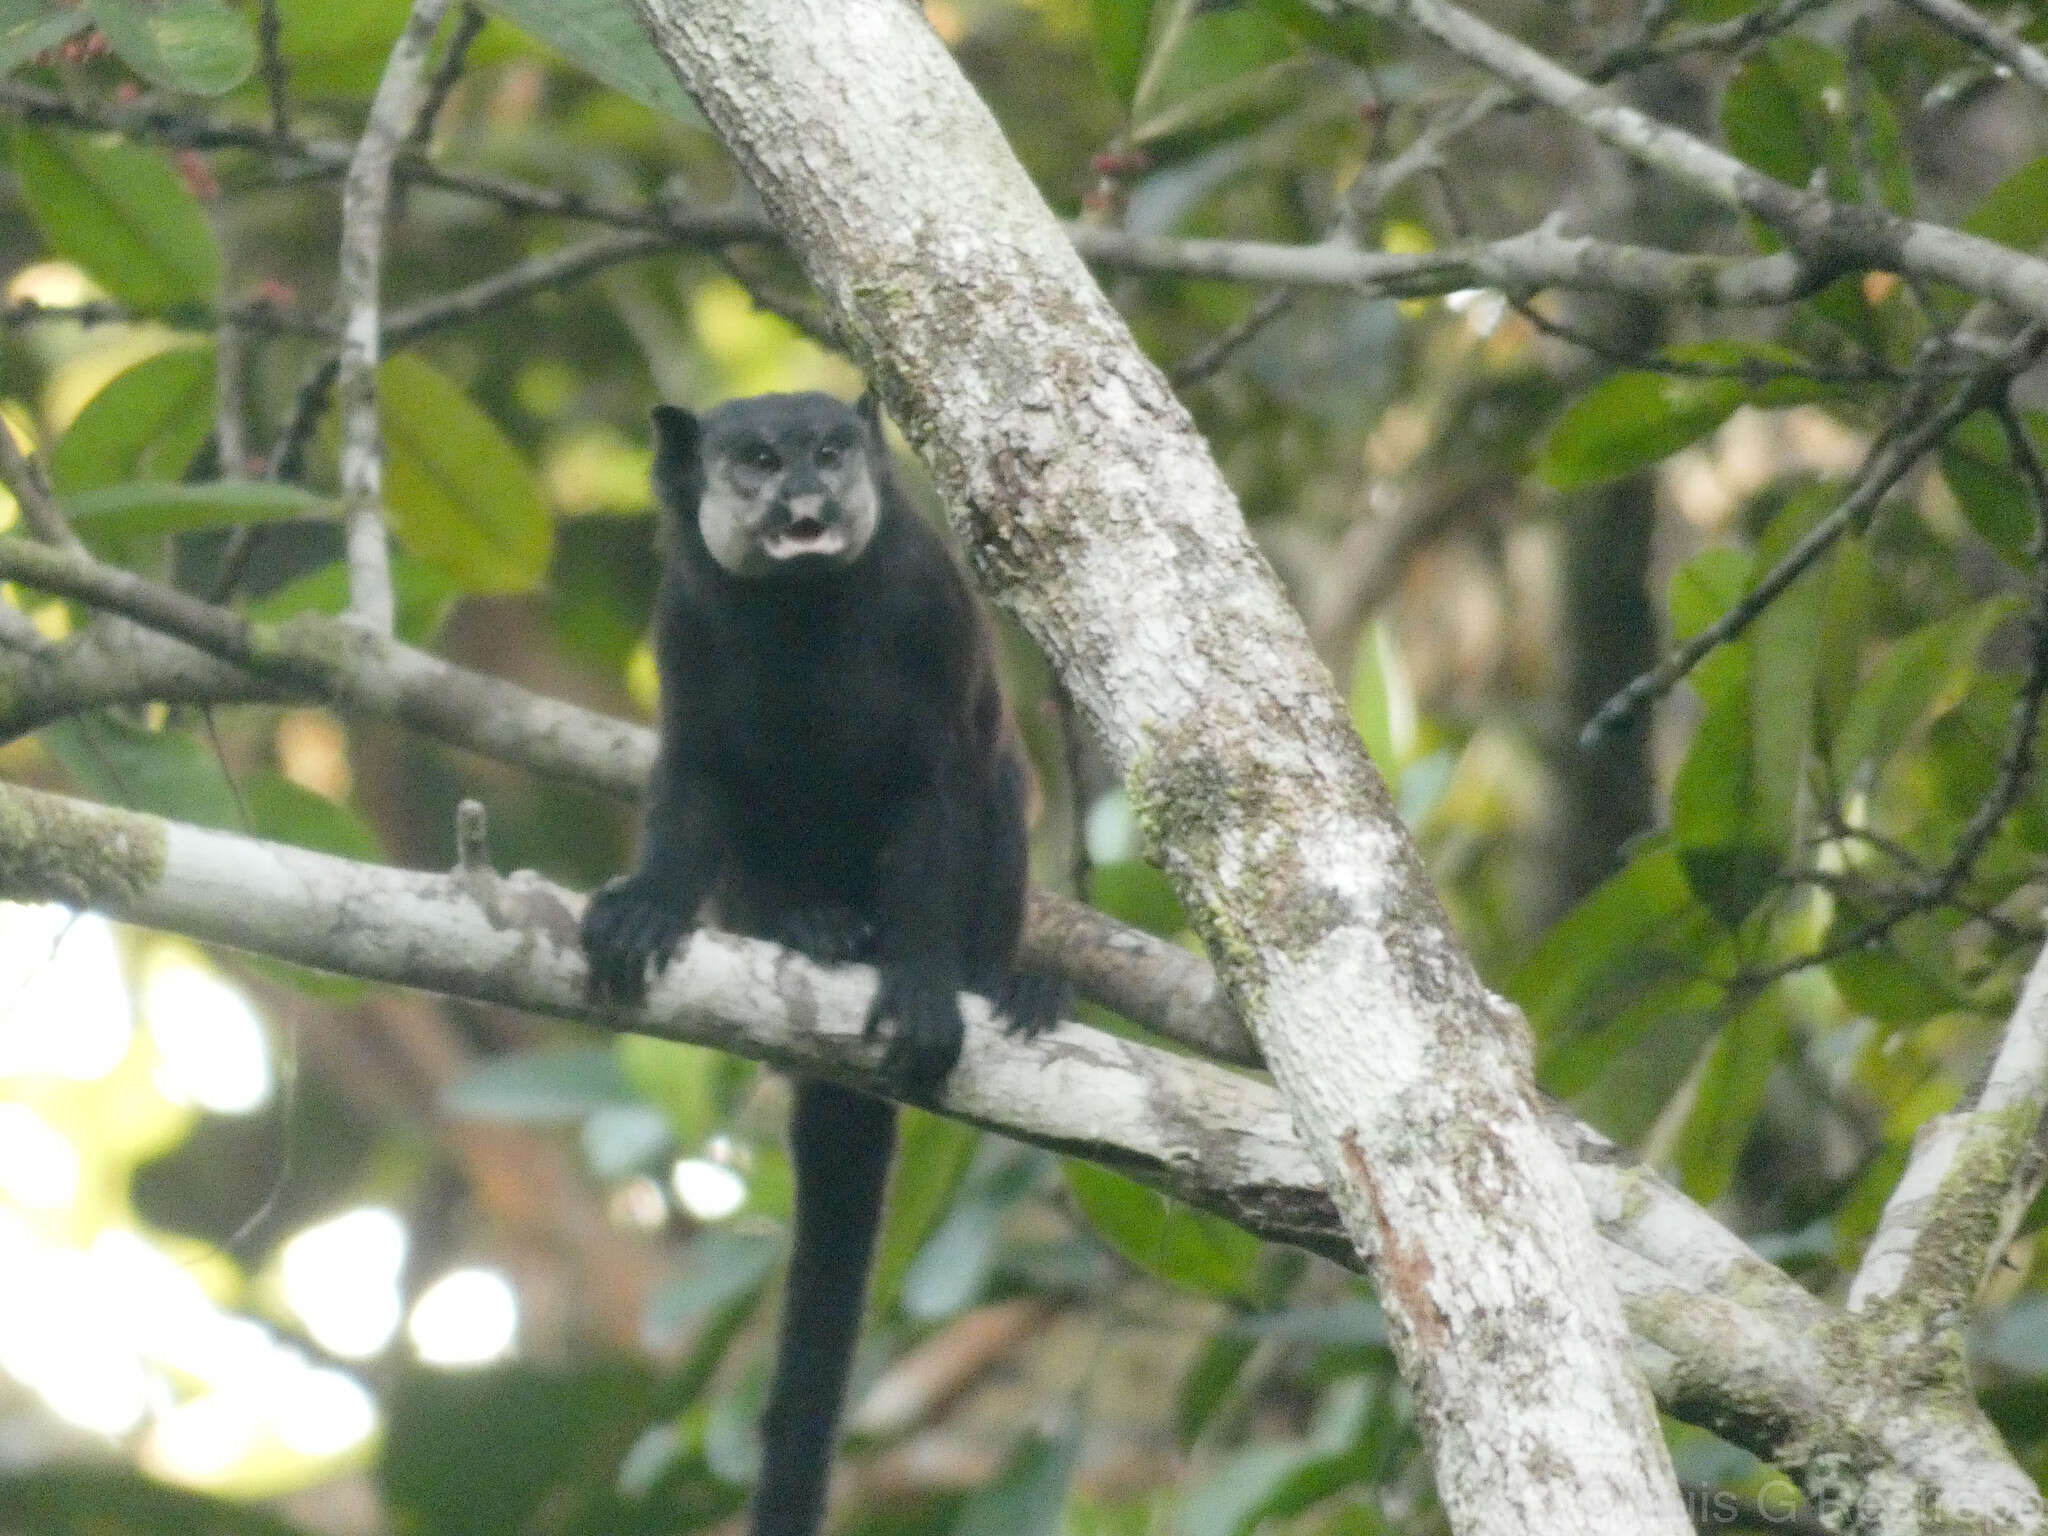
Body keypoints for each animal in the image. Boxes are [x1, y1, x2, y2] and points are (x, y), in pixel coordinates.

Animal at [577, 391, 1056, 1531]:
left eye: (832, 450)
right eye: (755, 460)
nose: (806, 495)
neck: (800, 615)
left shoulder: (932, 612)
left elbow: (944, 787)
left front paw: (924, 985)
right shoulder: (680, 626)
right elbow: (695, 779)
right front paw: (648, 907)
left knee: (998, 784)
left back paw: (999, 982)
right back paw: (818, 933)